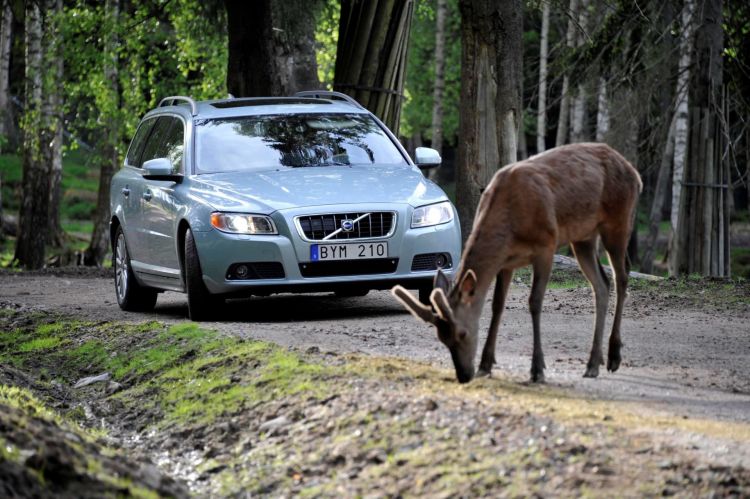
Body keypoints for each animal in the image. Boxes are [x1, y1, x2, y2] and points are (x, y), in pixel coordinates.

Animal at [390, 143, 644, 384]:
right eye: (442, 338)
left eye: (462, 333)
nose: (463, 375)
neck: (511, 224)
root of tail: (636, 174)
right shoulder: (506, 261)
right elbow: (497, 305)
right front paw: (486, 364)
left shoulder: (546, 245)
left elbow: (534, 302)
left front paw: (537, 369)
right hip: (583, 237)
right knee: (601, 284)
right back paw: (593, 363)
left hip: (619, 220)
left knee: (622, 278)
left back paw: (613, 357)